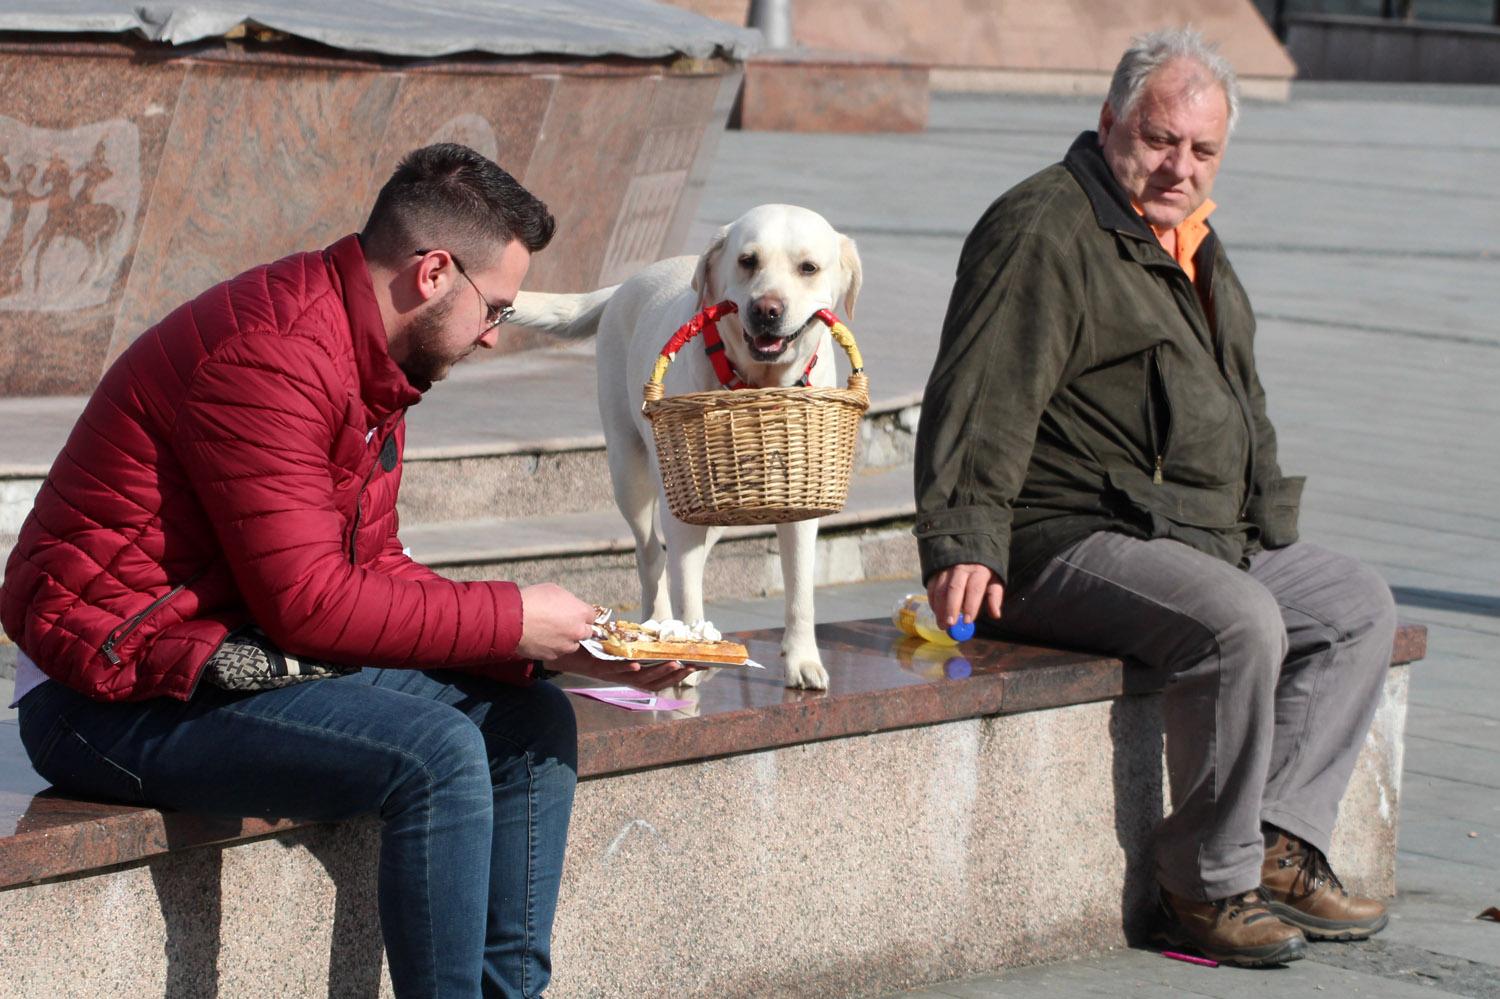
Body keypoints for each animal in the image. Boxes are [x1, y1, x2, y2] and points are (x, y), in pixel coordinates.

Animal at [510, 202, 864, 684]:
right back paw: (658, 616)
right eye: (748, 260)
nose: (766, 309)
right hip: (631, 472)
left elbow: (800, 593)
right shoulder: (681, 506)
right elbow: (687, 586)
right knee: (652, 556)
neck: (758, 386)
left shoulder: (800, 504)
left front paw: (803, 660)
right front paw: (690, 654)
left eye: (808, 268)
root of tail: (624, 284)